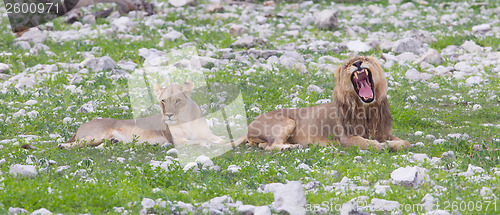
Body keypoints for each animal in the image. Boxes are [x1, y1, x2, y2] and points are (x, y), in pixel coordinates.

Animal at [234, 55, 410, 151]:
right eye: (347, 65)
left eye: (365, 59)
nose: (358, 64)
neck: (366, 109)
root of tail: (250, 125)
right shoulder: (345, 137)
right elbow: (365, 142)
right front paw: (381, 145)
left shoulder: (382, 132)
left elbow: (405, 142)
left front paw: (392, 143)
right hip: (287, 122)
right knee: (272, 145)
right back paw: (293, 146)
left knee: (263, 146)